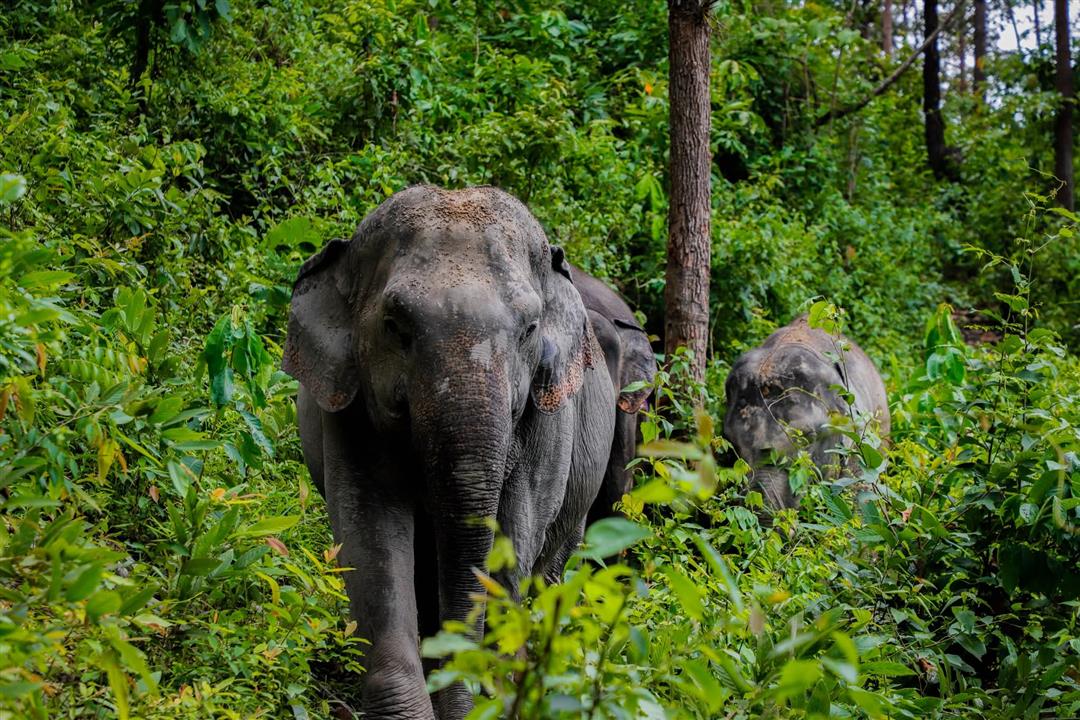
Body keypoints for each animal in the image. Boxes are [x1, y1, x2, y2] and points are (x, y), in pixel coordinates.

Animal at [283, 185, 616, 720]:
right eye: (395, 325)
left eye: (530, 328)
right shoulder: (349, 409)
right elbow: (370, 534)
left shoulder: (546, 421)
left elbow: (512, 535)